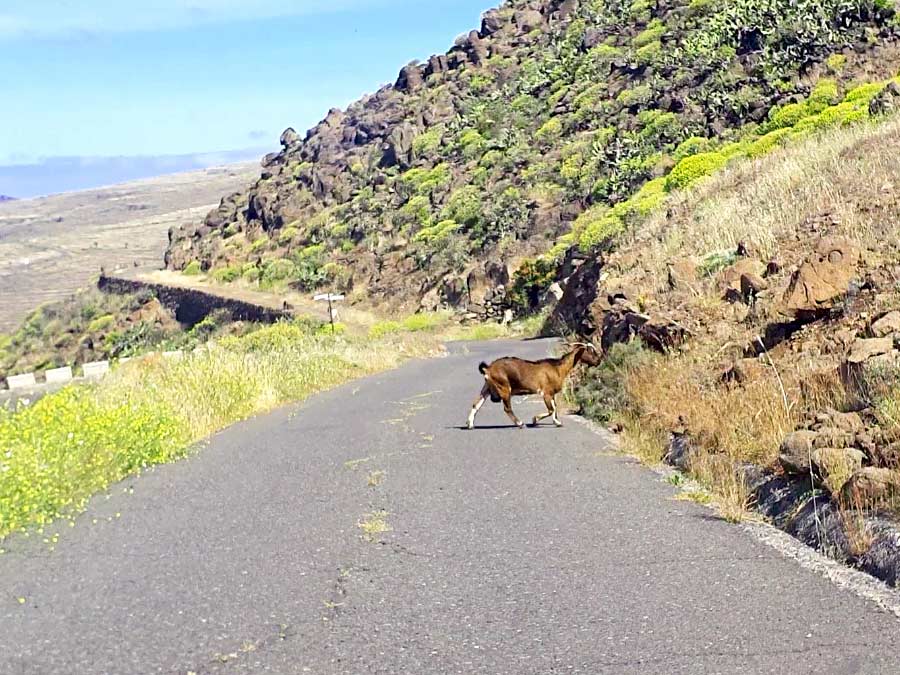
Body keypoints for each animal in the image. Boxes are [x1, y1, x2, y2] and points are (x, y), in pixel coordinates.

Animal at [468, 344, 600, 434]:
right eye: (590, 351)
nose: (598, 361)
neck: (558, 368)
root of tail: (488, 369)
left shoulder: (551, 393)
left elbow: (555, 407)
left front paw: (557, 422)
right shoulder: (546, 392)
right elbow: (551, 409)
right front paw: (534, 420)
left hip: (488, 387)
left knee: (476, 404)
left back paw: (470, 424)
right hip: (504, 387)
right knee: (507, 408)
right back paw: (520, 423)